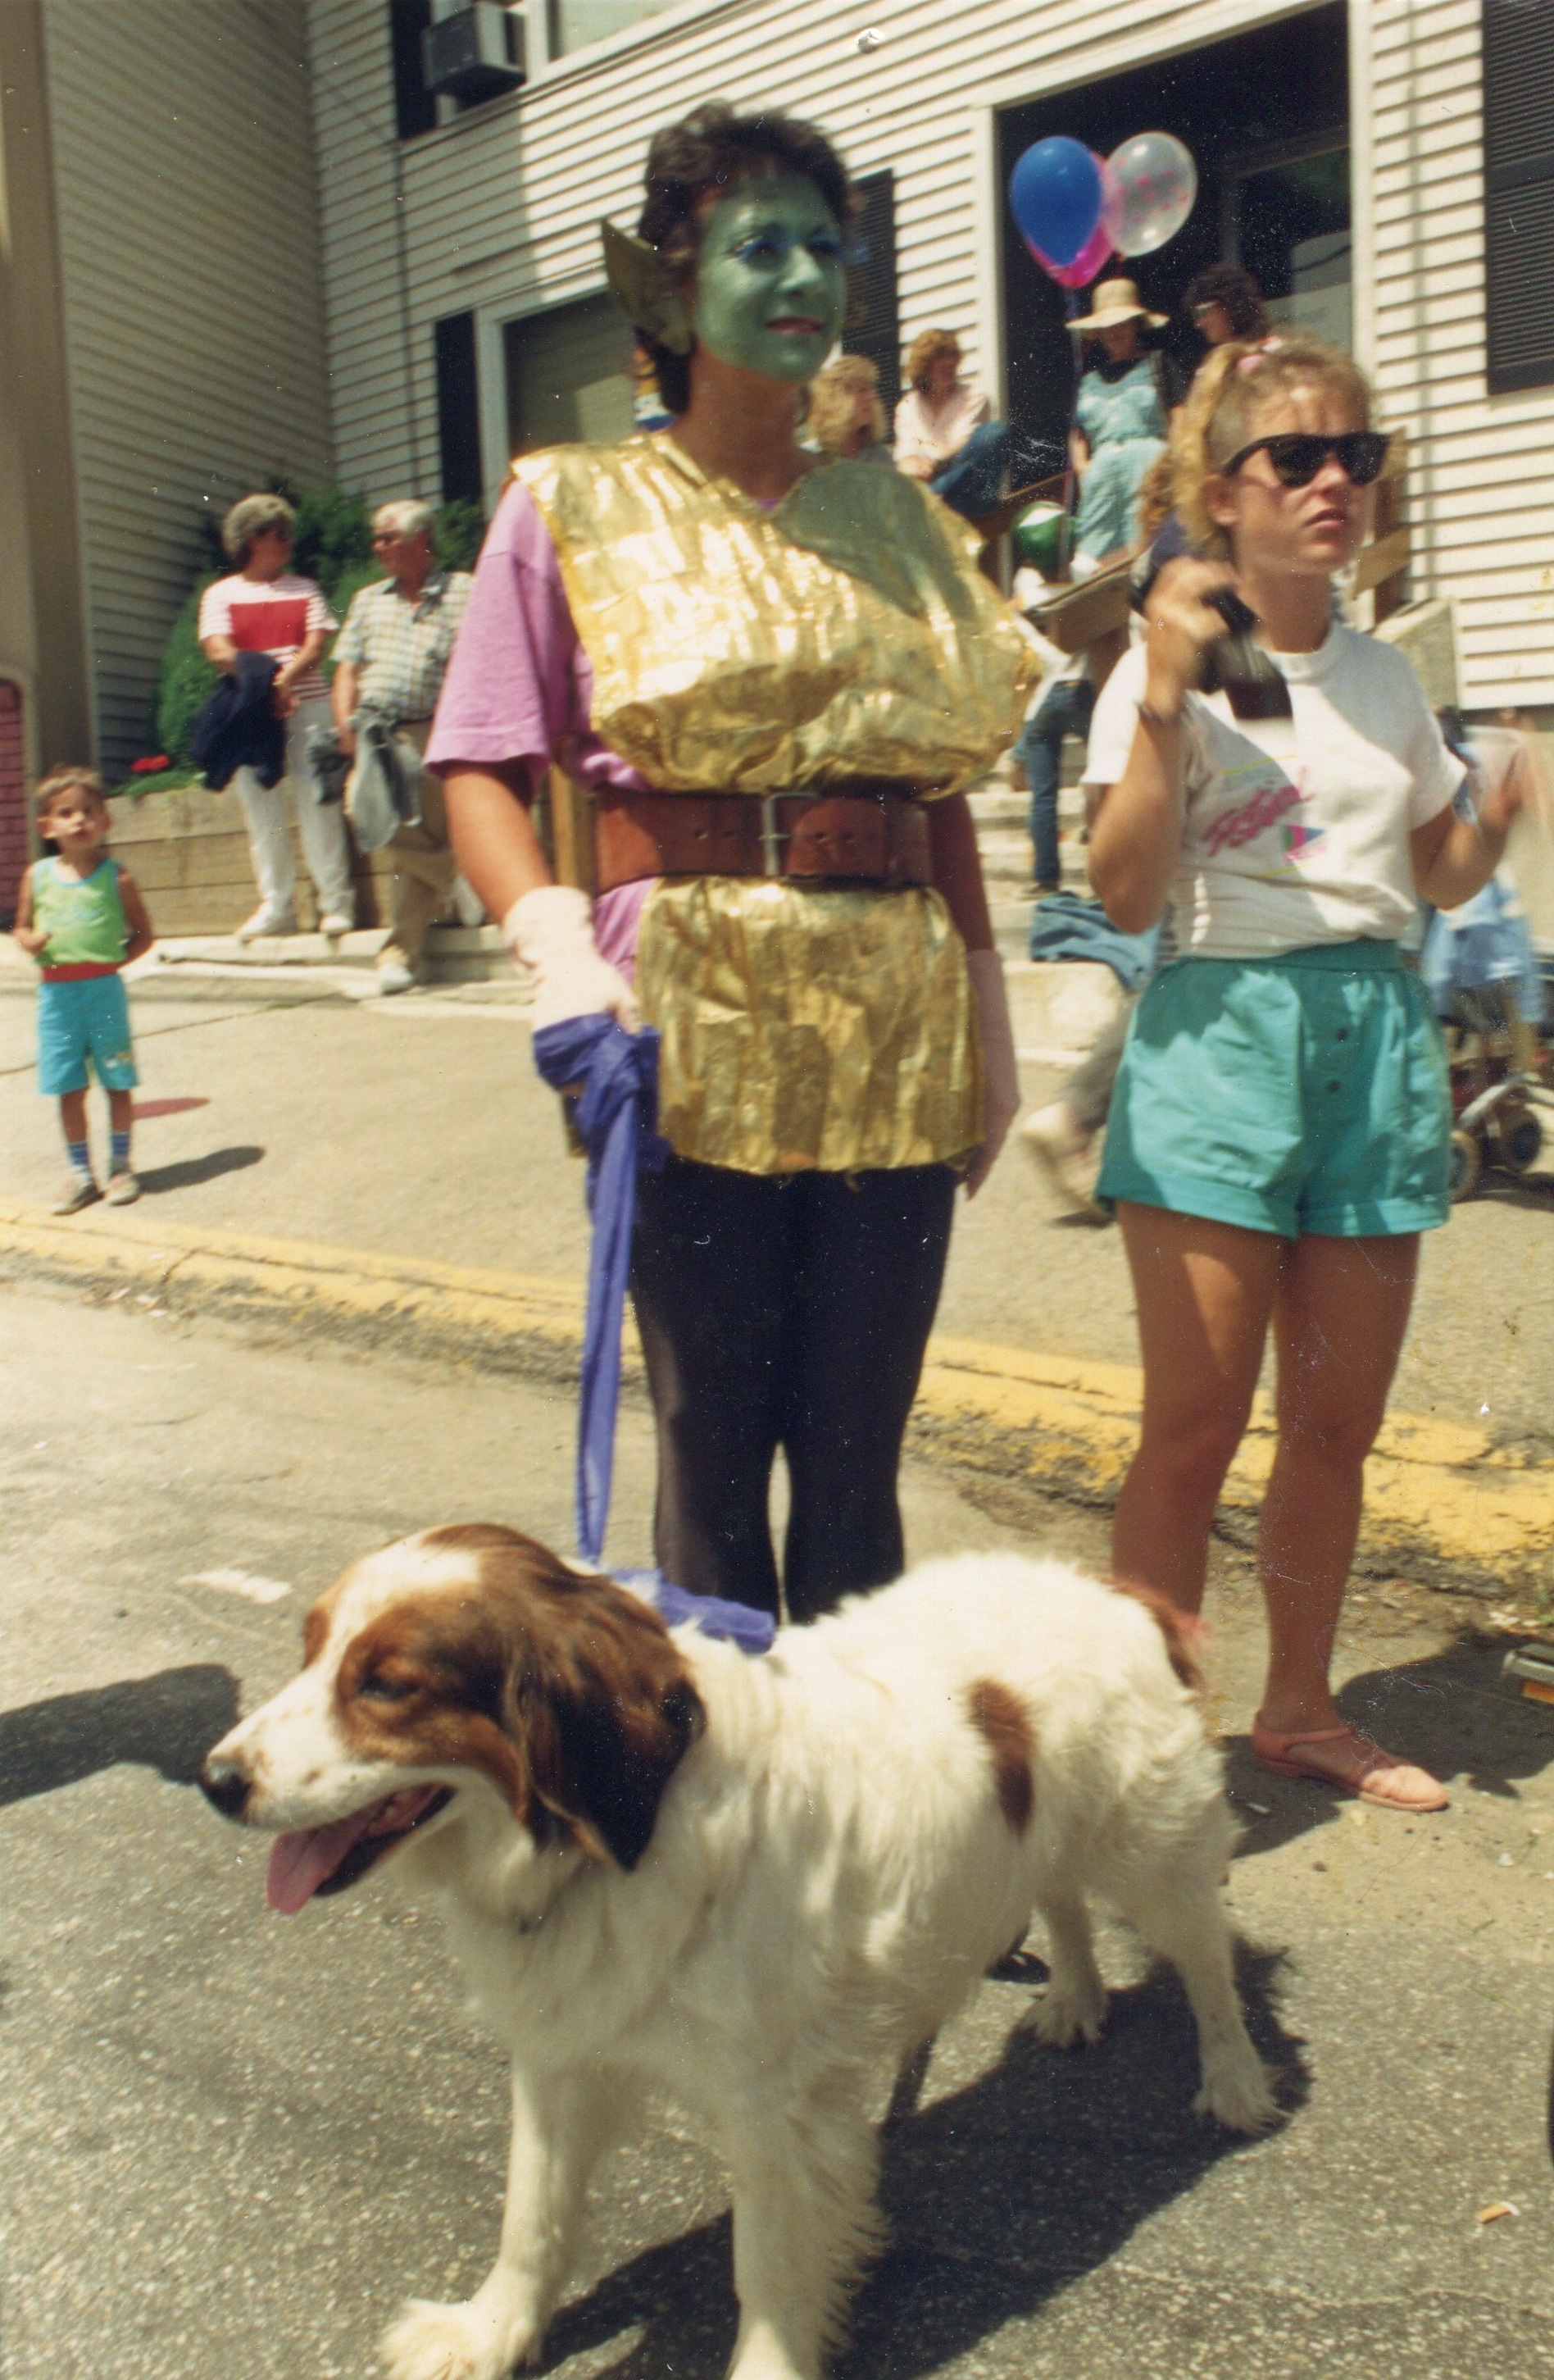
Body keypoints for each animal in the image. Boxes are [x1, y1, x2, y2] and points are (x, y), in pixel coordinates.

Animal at [199, 1522, 1275, 2380]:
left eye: (385, 1685)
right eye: (309, 1650)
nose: (215, 1778)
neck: (629, 1831)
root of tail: (1118, 1590)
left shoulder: (777, 2108)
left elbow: (765, 2269)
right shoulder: (560, 2053)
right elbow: (532, 2217)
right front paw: (491, 2330)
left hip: (1153, 1851)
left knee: (1207, 1959)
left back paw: (1234, 2078)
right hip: (1046, 1836)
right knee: (1059, 1896)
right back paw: (1078, 1997)